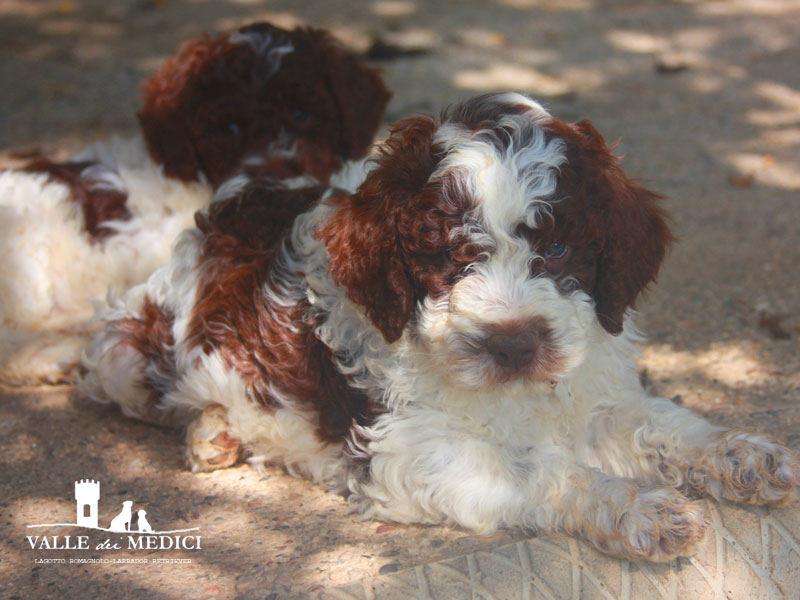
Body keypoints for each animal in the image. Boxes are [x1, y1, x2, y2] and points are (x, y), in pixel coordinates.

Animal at [79, 93, 799, 562]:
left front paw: (745, 456)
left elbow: (662, 424)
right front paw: (640, 510)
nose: (513, 344)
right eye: (450, 257)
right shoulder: (408, 451)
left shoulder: (589, 392)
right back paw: (210, 430)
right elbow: (536, 469)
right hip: (122, 355)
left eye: (559, 250)